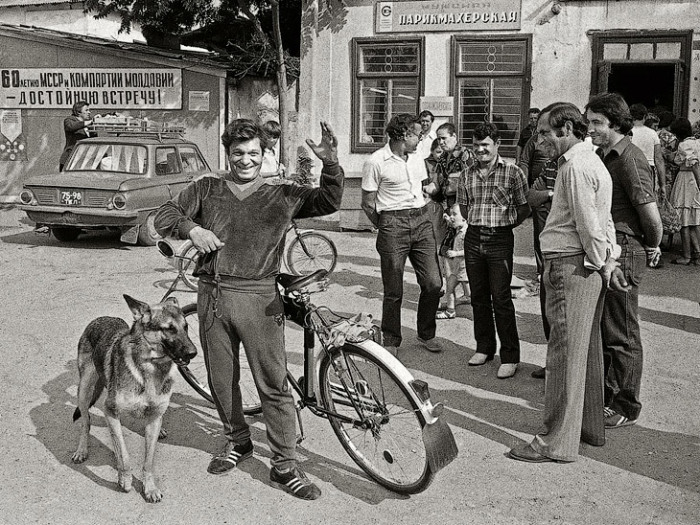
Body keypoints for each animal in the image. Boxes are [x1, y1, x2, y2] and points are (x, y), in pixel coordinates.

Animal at [72, 296, 197, 502]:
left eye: (185, 327)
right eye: (169, 328)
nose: (193, 353)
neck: (151, 367)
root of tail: (101, 318)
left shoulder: (153, 418)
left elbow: (148, 461)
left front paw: (150, 487)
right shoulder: (110, 412)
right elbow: (124, 454)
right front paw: (125, 479)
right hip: (84, 389)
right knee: (85, 422)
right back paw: (82, 450)